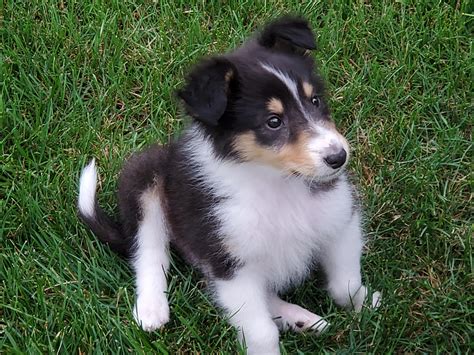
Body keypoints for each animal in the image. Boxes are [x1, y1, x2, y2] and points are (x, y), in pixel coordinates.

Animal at [78, 16, 382, 354]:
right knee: (150, 251)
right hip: (144, 176)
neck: (277, 183)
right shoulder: (229, 263)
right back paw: (151, 308)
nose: (338, 157)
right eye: (273, 122)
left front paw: (363, 305)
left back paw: (300, 319)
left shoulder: (340, 219)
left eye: (315, 101)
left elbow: (345, 284)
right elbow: (261, 331)